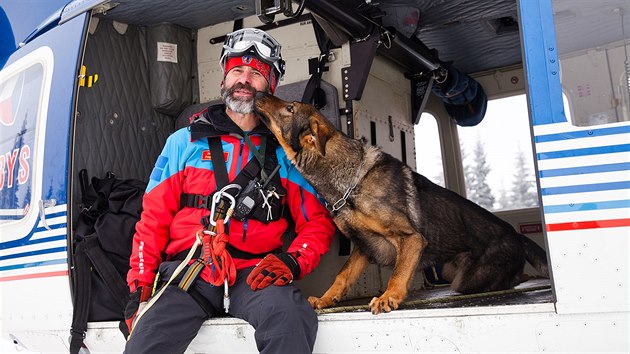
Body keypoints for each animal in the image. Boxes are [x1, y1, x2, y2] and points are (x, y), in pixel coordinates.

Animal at [254, 92, 552, 314]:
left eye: (289, 107)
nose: (258, 93)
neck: (350, 180)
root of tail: (515, 234)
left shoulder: (411, 239)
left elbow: (397, 273)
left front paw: (389, 296)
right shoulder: (364, 248)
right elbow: (342, 276)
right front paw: (327, 299)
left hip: (470, 278)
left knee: (505, 279)